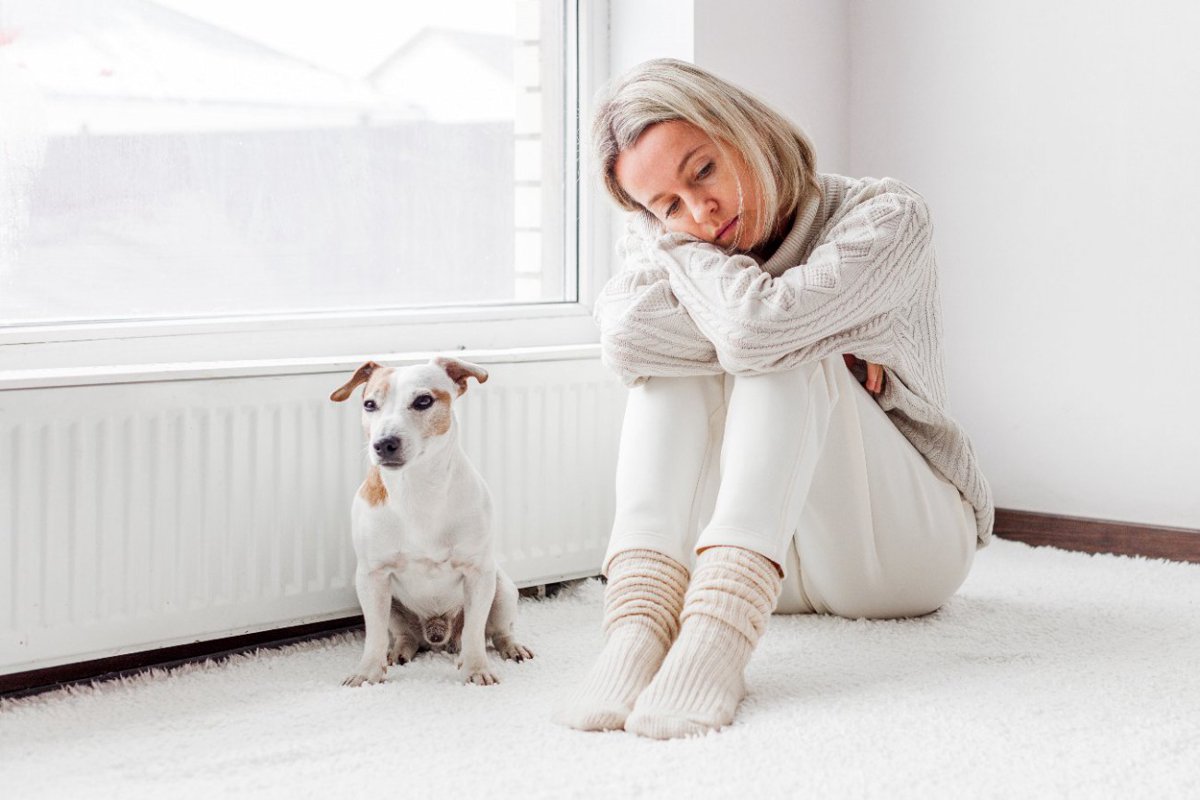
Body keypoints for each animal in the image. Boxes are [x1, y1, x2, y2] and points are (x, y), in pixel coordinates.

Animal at [331, 357, 532, 690]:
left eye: (423, 401)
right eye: (370, 404)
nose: (384, 443)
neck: (418, 487)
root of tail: (437, 634)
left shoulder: (478, 574)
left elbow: (475, 631)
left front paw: (476, 668)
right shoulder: (372, 577)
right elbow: (374, 636)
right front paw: (367, 672)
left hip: (502, 589)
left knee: (494, 632)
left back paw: (508, 648)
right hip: (393, 607)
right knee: (404, 636)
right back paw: (398, 652)